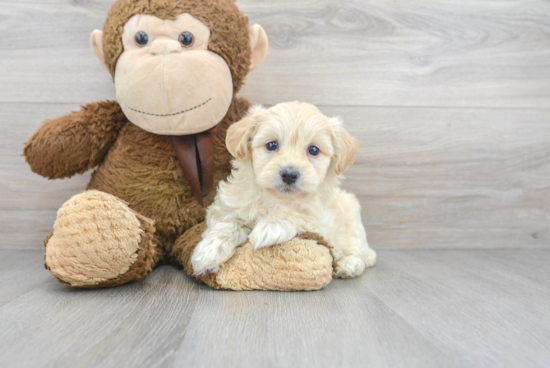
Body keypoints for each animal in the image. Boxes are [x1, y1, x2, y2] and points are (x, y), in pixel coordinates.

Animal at [192, 102, 378, 278]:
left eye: (313, 150)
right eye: (272, 145)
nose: (289, 174)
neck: (275, 198)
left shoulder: (322, 222)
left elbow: (298, 214)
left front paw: (271, 227)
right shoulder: (226, 206)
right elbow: (226, 224)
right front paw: (209, 252)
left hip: (352, 218)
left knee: (358, 248)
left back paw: (349, 264)